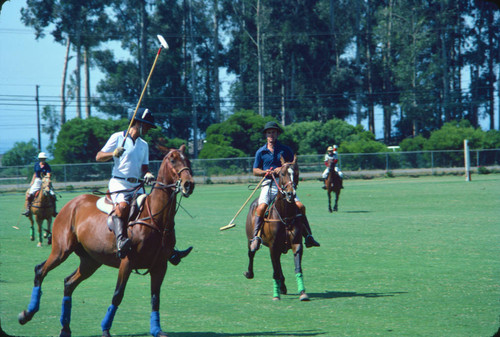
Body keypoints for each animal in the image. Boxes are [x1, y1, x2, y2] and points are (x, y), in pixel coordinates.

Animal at [17, 146, 194, 336]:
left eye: (188, 160)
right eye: (173, 160)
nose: (189, 184)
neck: (155, 219)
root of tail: (71, 204)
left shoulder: (160, 265)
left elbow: (155, 298)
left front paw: (156, 330)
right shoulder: (127, 261)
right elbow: (117, 295)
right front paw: (106, 329)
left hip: (91, 260)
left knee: (69, 283)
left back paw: (65, 328)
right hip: (61, 250)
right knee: (40, 270)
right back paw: (26, 314)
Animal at [243, 155, 308, 300]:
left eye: (296, 173)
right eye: (282, 173)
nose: (290, 194)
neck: (285, 215)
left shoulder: (296, 243)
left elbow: (297, 267)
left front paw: (303, 293)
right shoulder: (273, 246)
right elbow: (275, 270)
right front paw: (276, 295)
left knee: (278, 265)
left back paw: (282, 285)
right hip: (250, 237)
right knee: (251, 252)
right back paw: (249, 273)